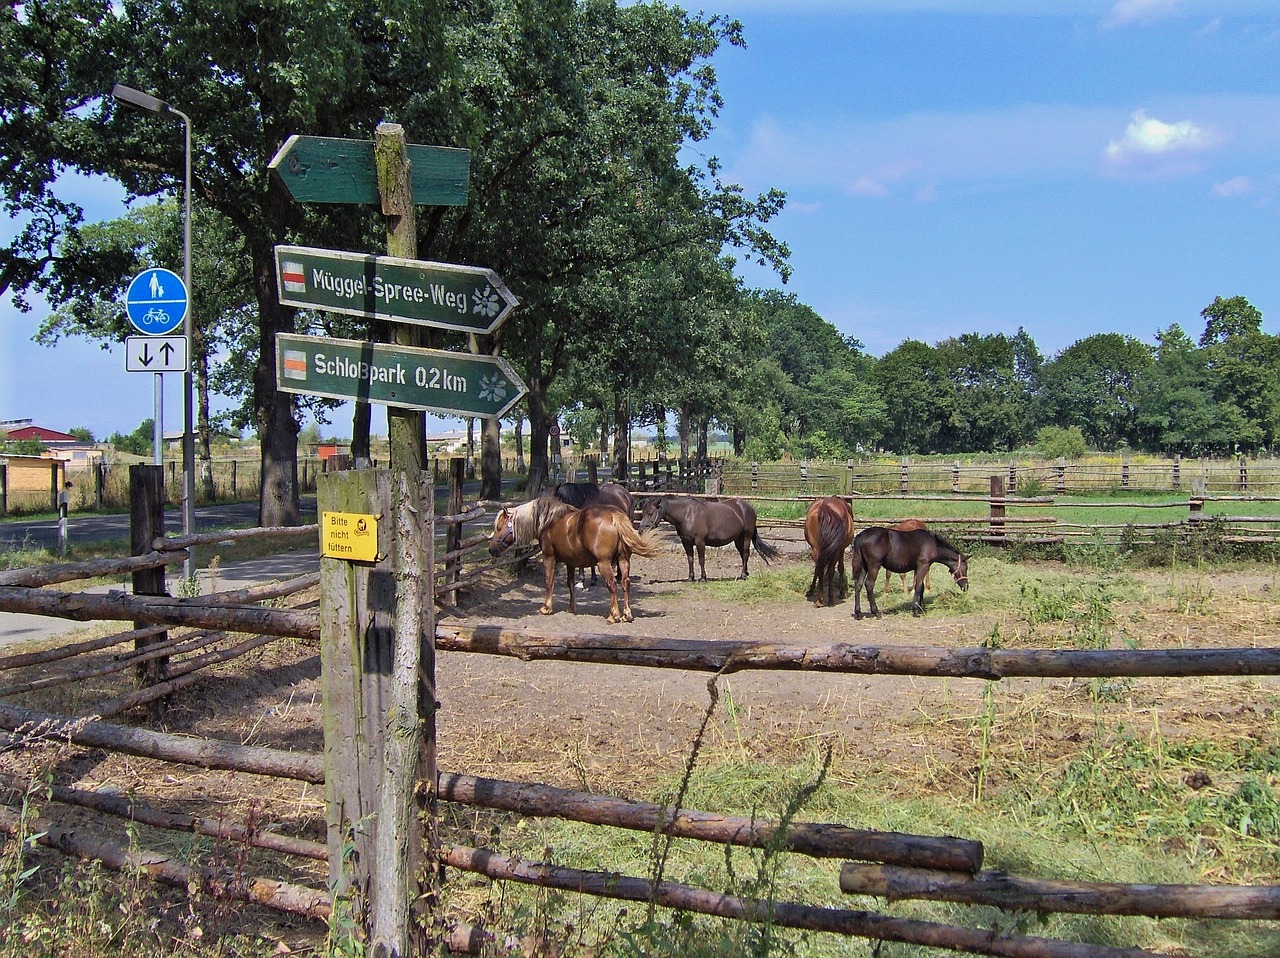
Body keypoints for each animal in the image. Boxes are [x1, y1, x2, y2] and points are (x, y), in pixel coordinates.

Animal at [488, 496, 660, 625]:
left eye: (499, 527)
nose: (492, 550)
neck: (549, 522)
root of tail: (614, 515)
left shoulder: (549, 557)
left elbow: (549, 581)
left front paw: (546, 608)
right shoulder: (570, 563)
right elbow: (570, 584)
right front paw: (571, 608)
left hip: (604, 563)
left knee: (612, 585)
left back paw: (613, 616)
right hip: (623, 560)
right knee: (625, 583)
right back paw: (627, 614)